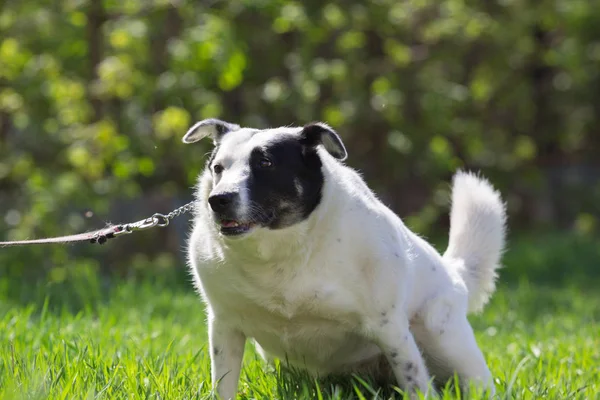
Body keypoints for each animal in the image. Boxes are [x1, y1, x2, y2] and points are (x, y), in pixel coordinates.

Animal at [183, 119, 506, 400]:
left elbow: (416, 383)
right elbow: (223, 384)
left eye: (265, 163)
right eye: (217, 168)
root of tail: (455, 274)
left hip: (447, 342)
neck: (281, 253)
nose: (218, 200)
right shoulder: (224, 325)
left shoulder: (391, 330)